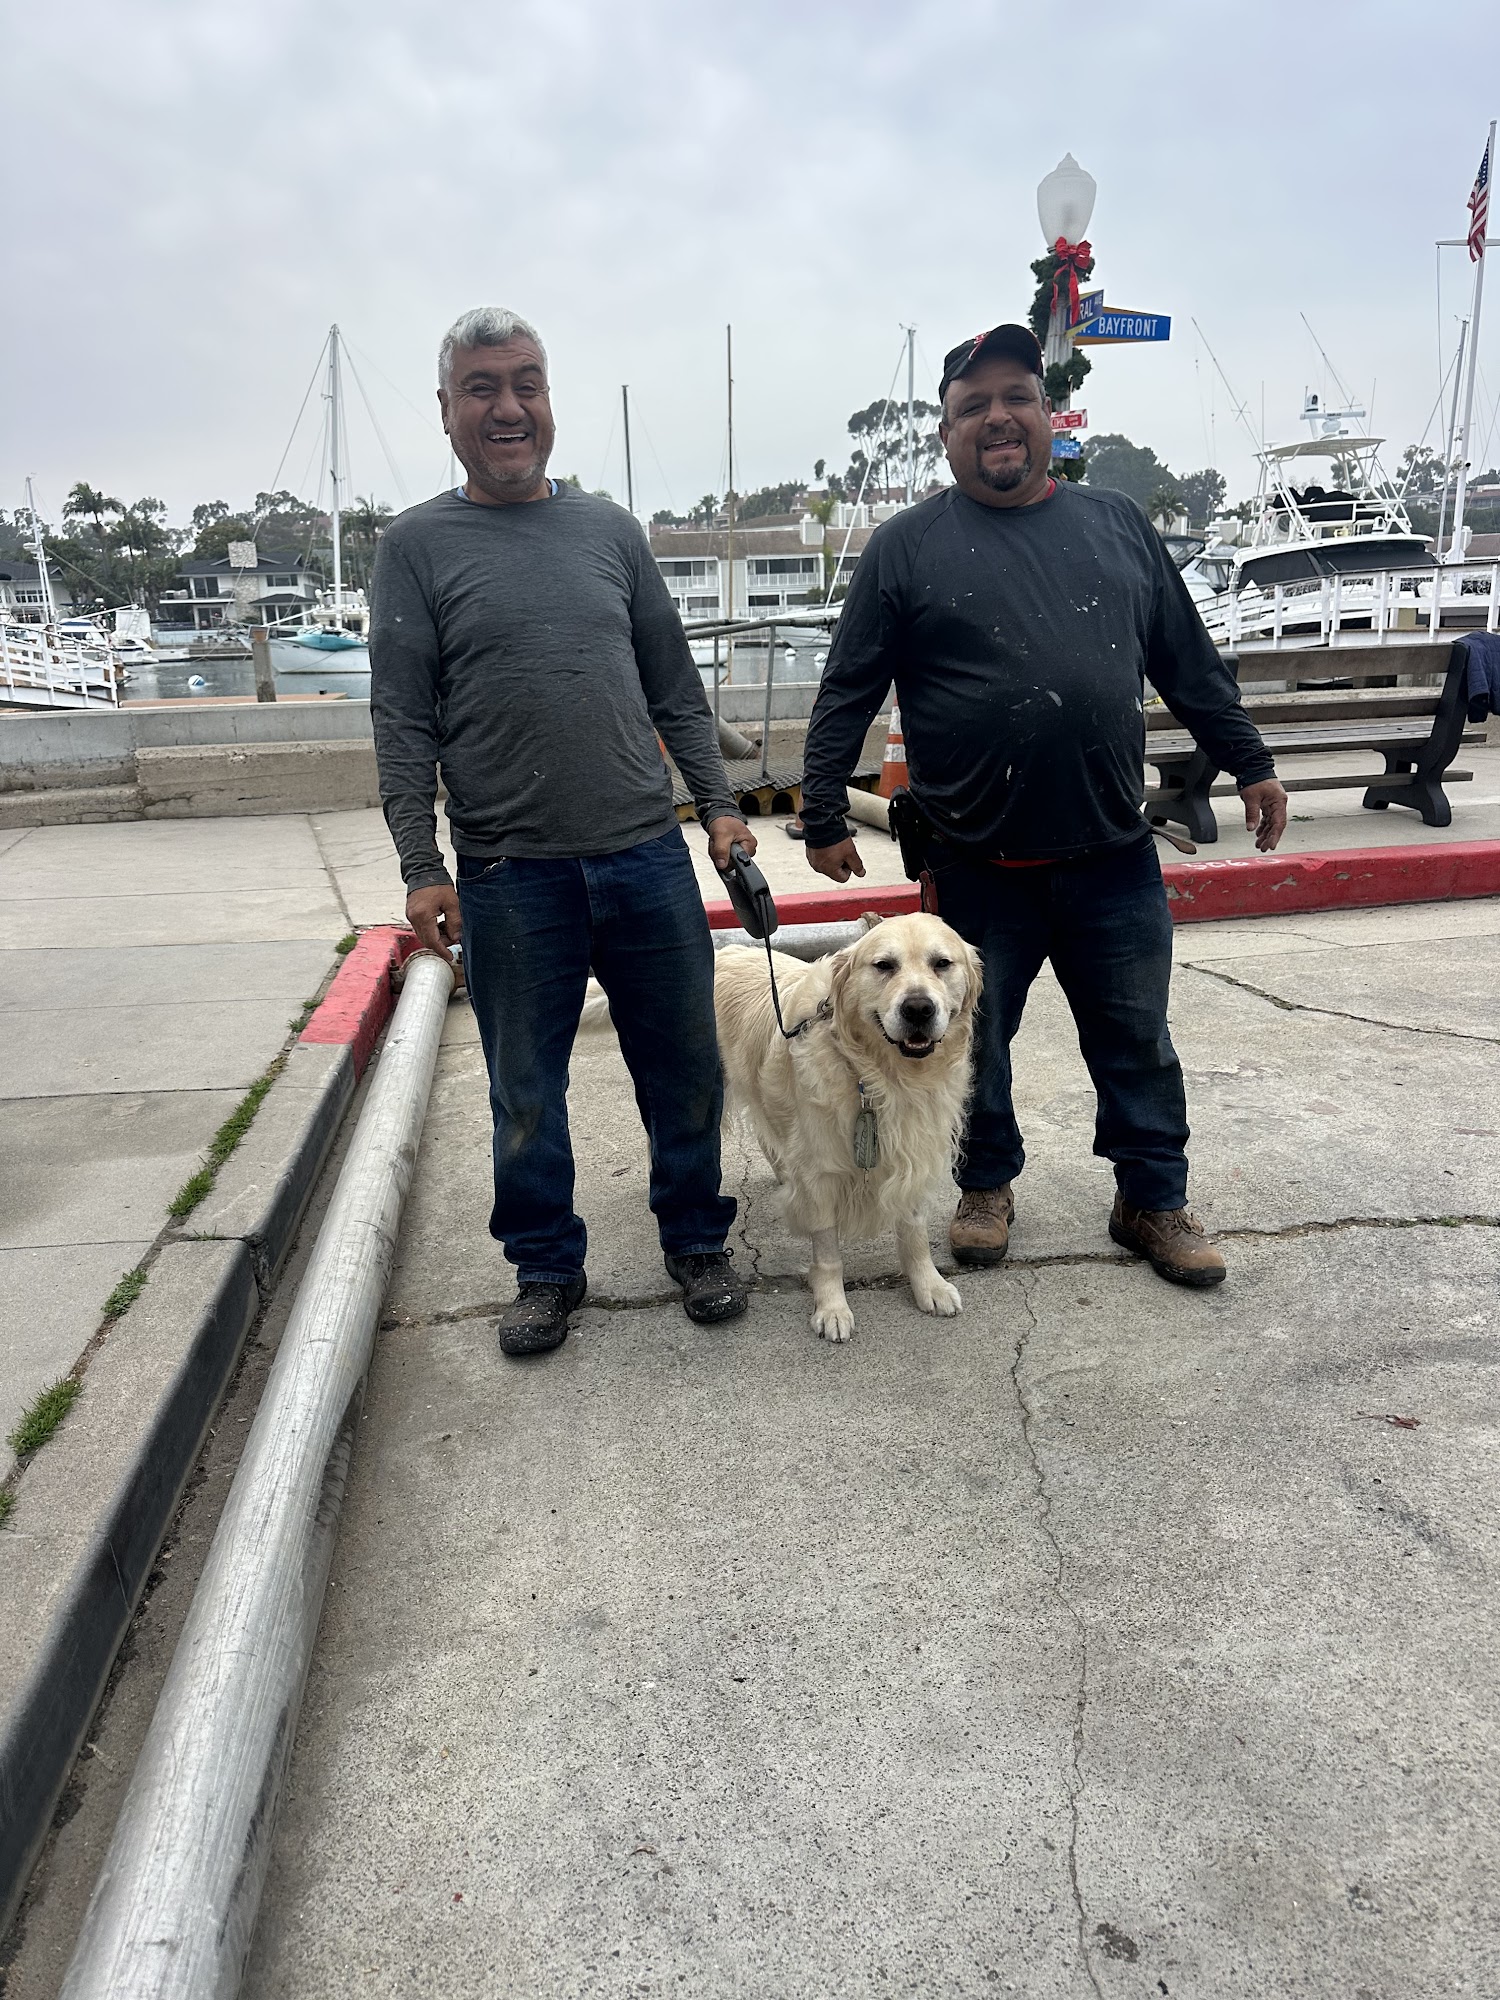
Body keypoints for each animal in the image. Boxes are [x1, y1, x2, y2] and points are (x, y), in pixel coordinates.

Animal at [713, 913, 982, 1341]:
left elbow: (915, 1233)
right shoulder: (820, 1170)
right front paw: (832, 1308)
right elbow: (827, 1253)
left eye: (942, 963)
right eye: (884, 965)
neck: (881, 1076)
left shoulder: (914, 1152)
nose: (918, 1008)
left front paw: (930, 1286)